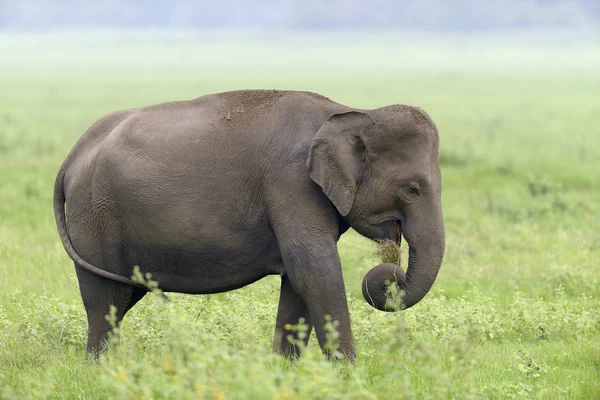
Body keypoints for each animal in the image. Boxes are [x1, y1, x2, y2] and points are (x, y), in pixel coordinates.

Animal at [52, 90, 446, 362]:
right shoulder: (291, 184)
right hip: (95, 218)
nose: (390, 271)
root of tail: (70, 158)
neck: (356, 112)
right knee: (105, 303)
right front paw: (348, 373)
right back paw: (100, 369)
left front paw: (285, 369)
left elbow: (297, 281)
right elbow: (316, 271)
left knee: (119, 300)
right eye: (412, 189)